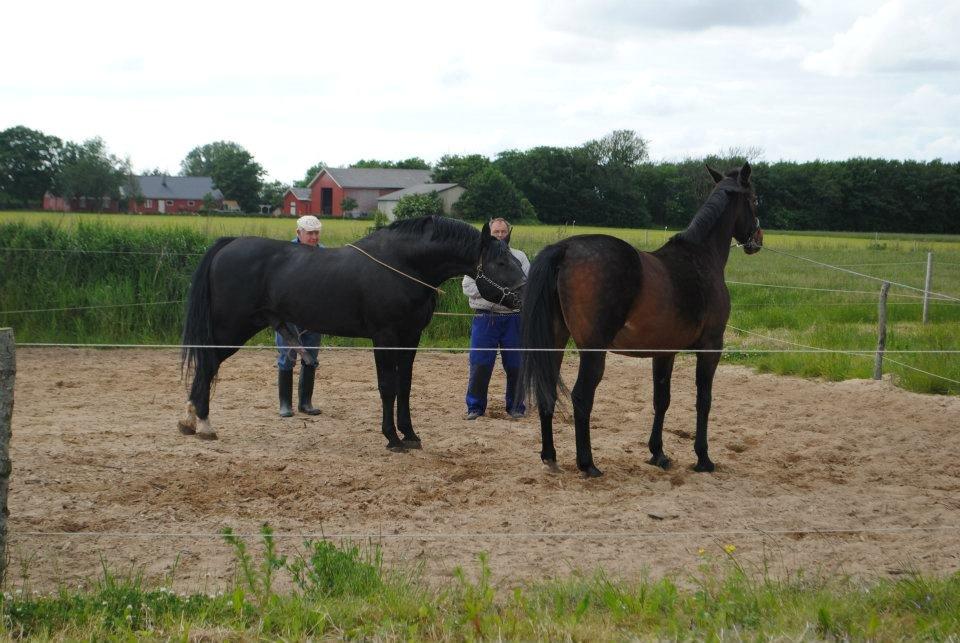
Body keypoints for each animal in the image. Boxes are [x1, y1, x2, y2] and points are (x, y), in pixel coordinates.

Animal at [178, 216, 524, 448]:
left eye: (515, 260)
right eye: (500, 262)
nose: (524, 293)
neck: (403, 265)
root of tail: (229, 244)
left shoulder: (410, 338)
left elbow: (405, 386)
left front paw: (410, 434)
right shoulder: (385, 338)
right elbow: (387, 387)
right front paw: (392, 438)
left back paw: (194, 421)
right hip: (232, 328)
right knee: (207, 363)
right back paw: (202, 423)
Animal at [520, 164, 760, 478]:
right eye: (754, 199)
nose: (757, 239)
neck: (700, 257)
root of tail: (565, 249)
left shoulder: (664, 352)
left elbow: (662, 400)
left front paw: (658, 453)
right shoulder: (710, 347)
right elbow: (703, 400)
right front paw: (703, 458)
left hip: (555, 342)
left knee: (547, 389)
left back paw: (550, 455)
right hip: (593, 351)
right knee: (582, 397)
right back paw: (588, 464)